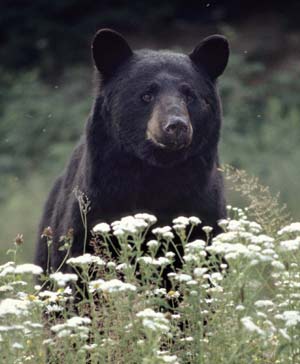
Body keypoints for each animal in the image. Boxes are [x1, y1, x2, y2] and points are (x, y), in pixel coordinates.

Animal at [34, 28, 229, 272]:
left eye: (189, 95)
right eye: (146, 95)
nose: (177, 126)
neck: (156, 171)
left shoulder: (203, 204)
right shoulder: (96, 204)